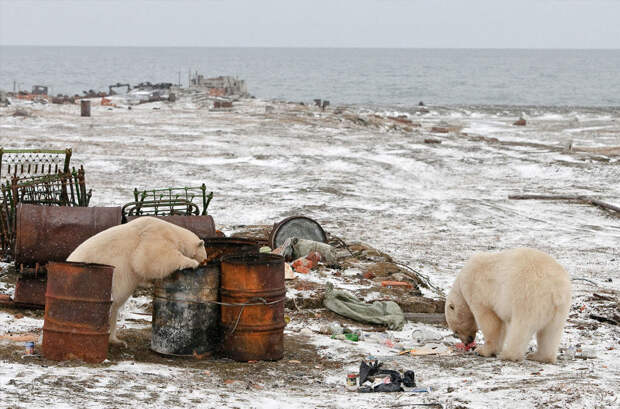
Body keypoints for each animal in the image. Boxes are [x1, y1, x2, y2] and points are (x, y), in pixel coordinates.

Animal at [67, 215, 208, 346]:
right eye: (204, 257)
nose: (205, 263)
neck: (174, 232)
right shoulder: (154, 235)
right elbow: (150, 259)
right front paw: (192, 262)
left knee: (113, 310)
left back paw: (117, 340)